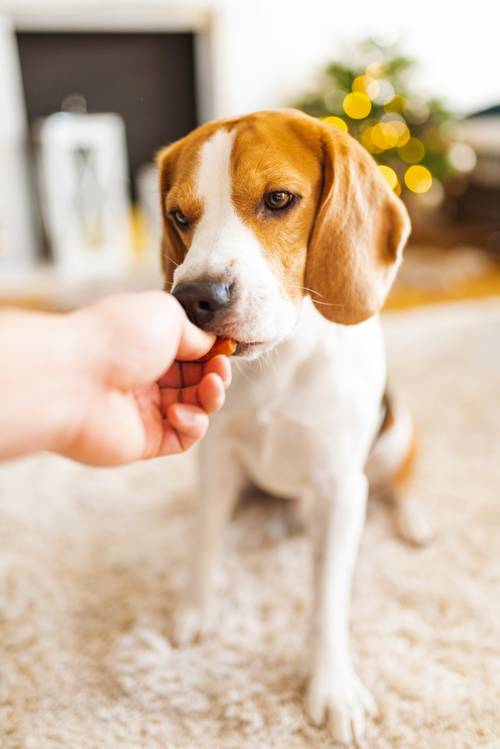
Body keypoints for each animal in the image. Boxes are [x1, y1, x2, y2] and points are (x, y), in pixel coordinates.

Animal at [157, 108, 430, 744]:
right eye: (179, 216)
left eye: (279, 199)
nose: (193, 298)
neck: (279, 363)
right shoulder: (216, 459)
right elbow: (205, 539)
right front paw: (196, 609)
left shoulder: (341, 488)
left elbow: (327, 599)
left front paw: (331, 687)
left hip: (397, 434)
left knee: (401, 480)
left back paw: (412, 519)